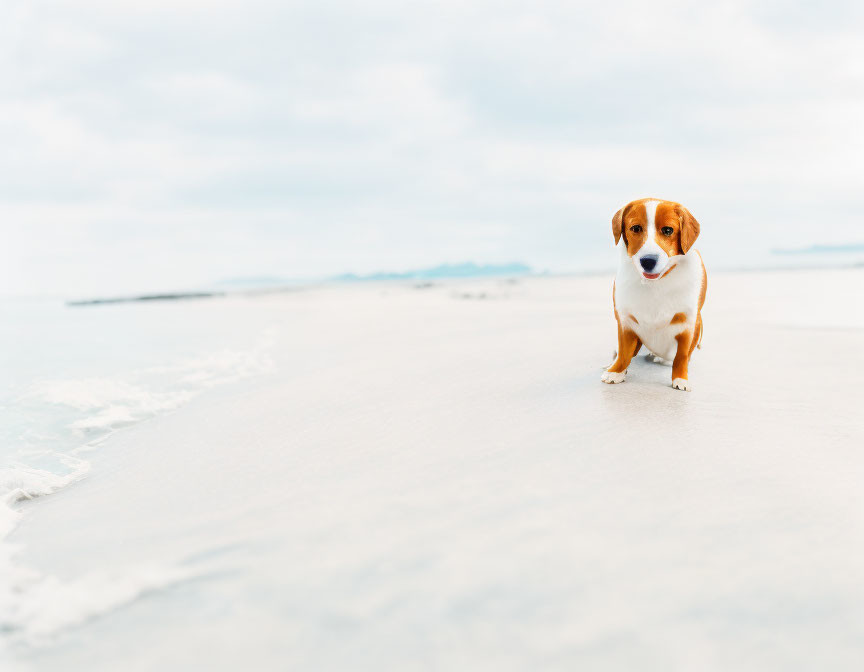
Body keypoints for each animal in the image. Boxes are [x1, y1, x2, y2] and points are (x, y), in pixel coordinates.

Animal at [604, 197, 704, 392]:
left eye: (668, 230)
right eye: (636, 228)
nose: (648, 261)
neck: (656, 283)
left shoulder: (689, 322)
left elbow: (682, 356)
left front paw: (681, 378)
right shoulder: (624, 320)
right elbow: (625, 352)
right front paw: (616, 371)